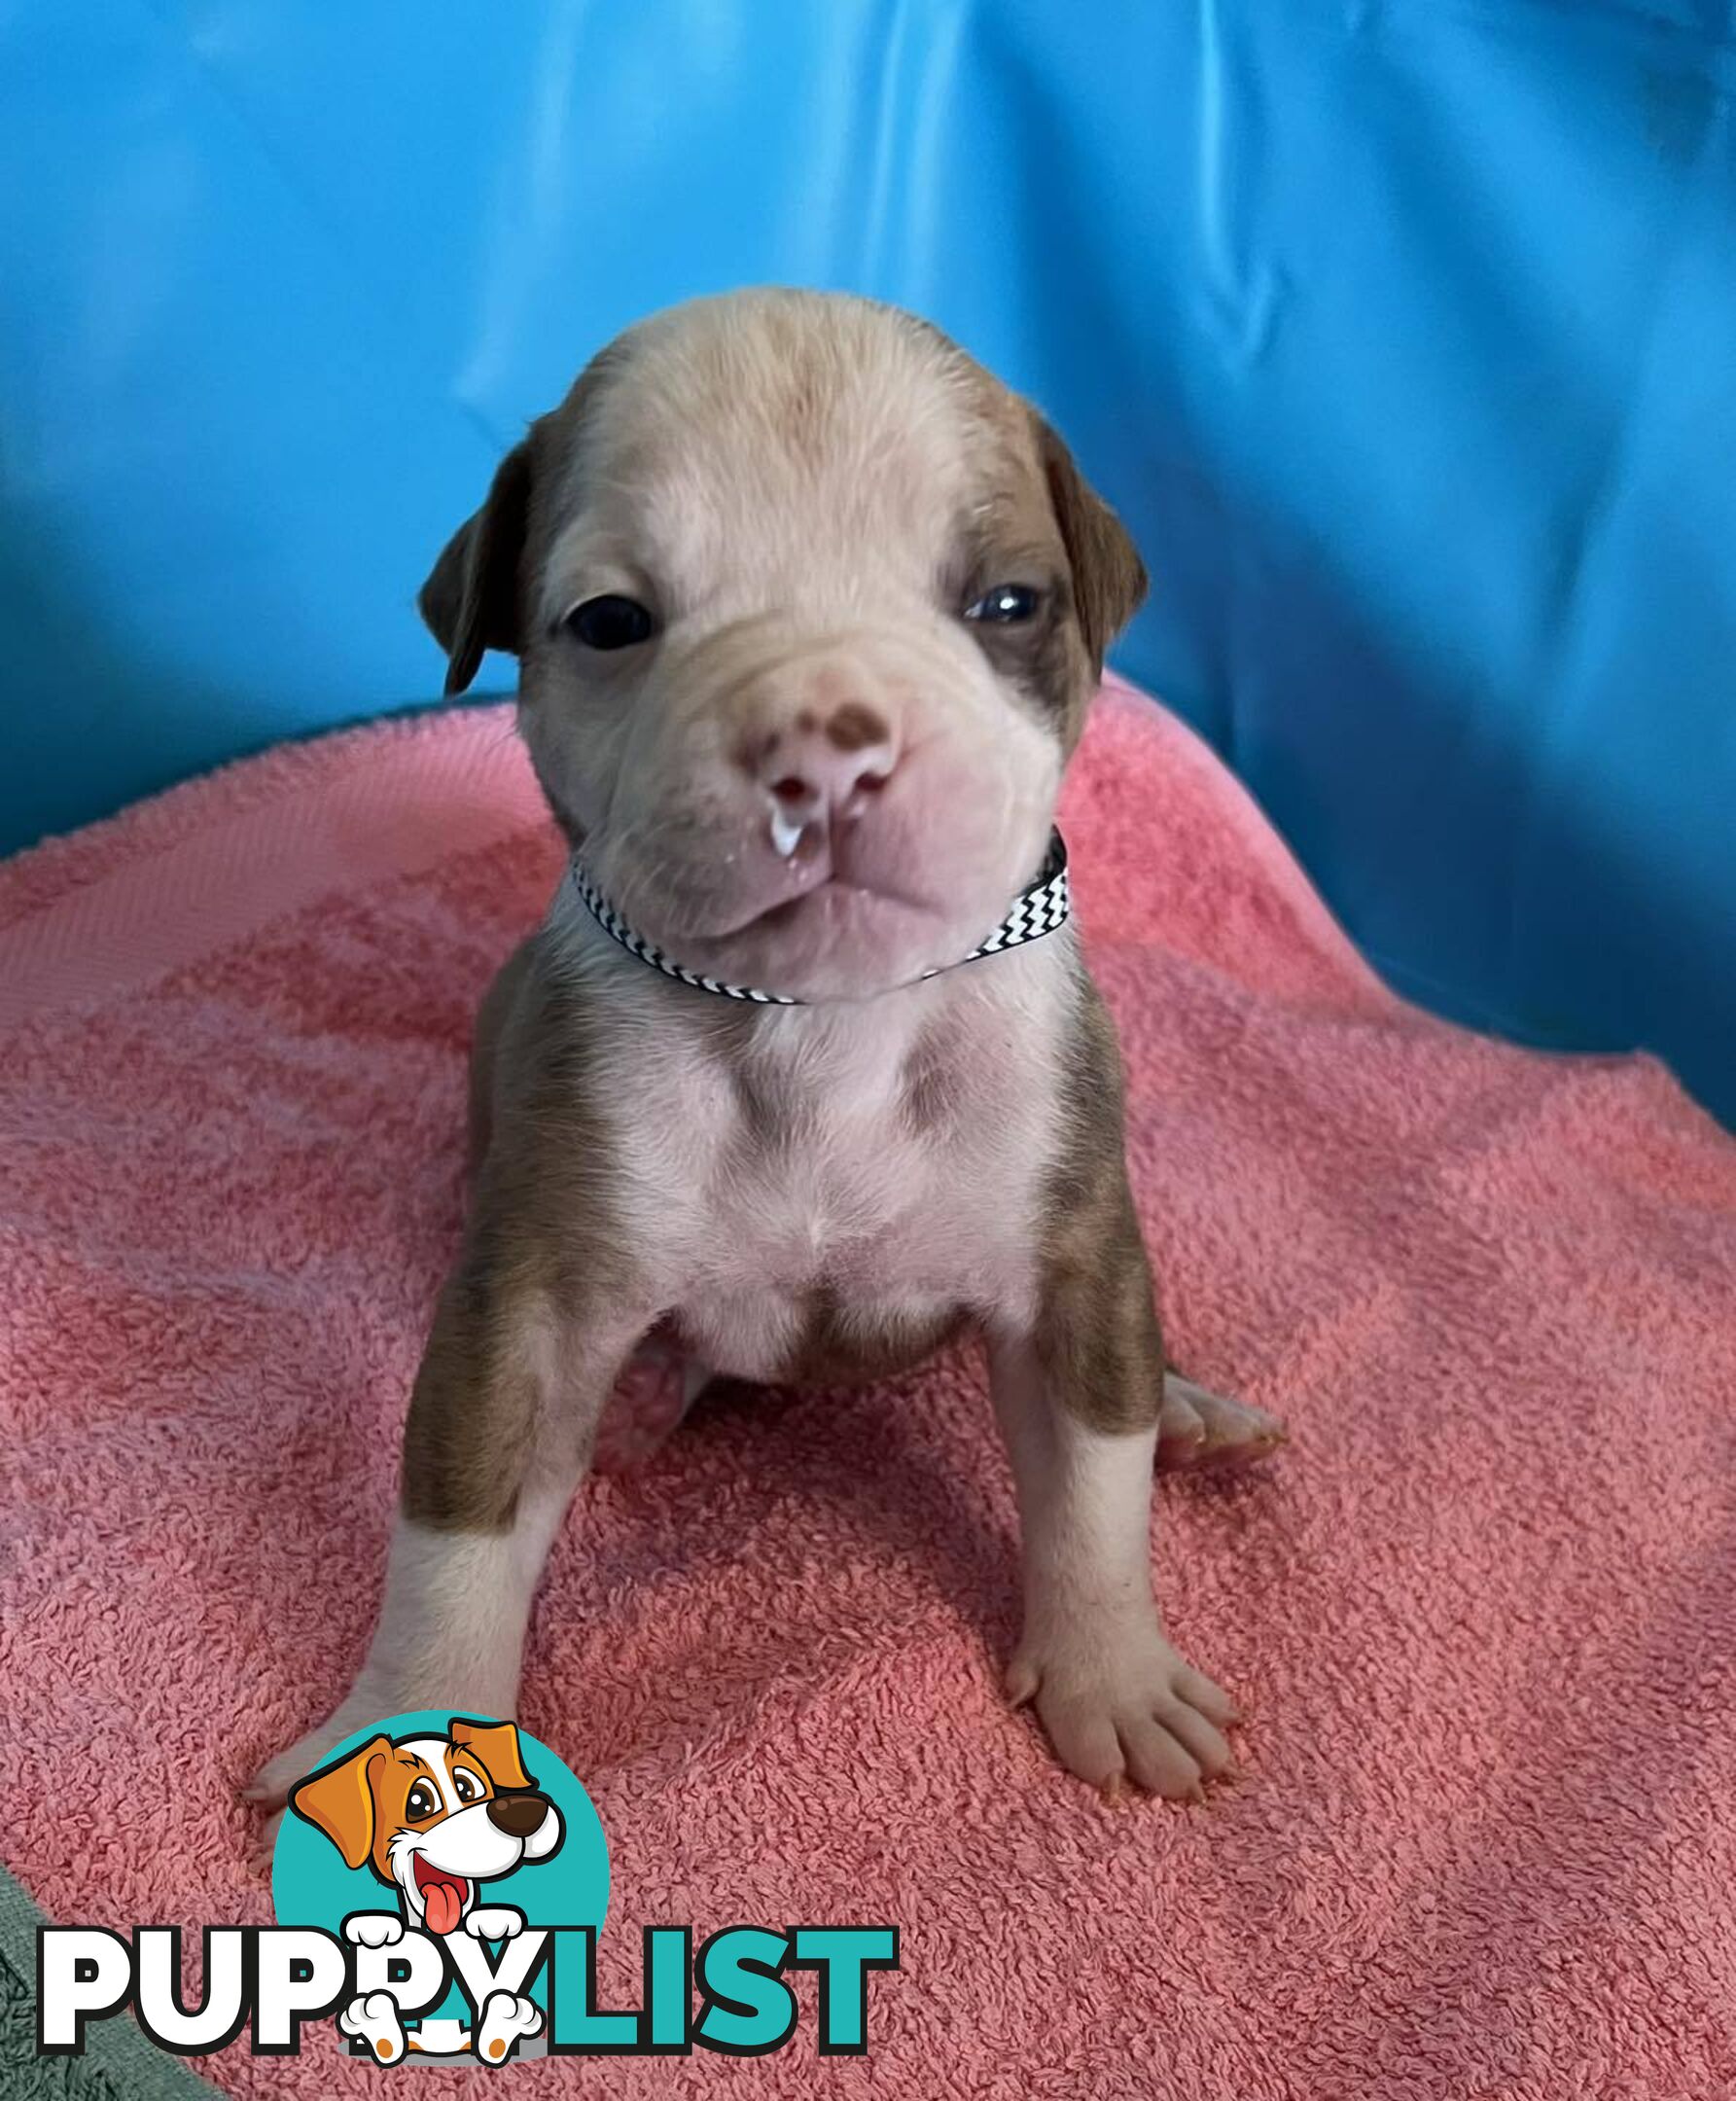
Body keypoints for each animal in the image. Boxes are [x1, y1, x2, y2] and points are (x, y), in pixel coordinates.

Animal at [250, 287, 1277, 1815]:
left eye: (1009, 604)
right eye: (612, 621)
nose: (829, 747)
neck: (822, 1025)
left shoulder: (1072, 1252)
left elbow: (1095, 1479)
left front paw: (1114, 1672)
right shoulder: (524, 1306)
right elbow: (453, 1528)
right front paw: (407, 1724)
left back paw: (1191, 1409)